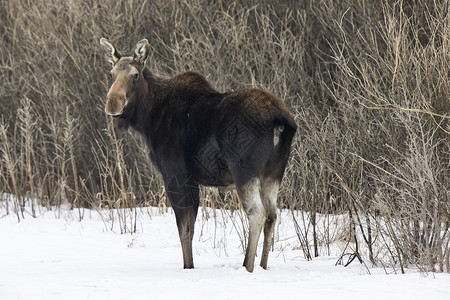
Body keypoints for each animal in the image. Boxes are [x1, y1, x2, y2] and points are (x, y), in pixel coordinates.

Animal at [100, 37, 298, 272]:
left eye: (135, 75)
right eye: (111, 74)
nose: (113, 103)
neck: (147, 120)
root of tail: (282, 120)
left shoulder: (175, 175)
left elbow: (184, 227)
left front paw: (188, 267)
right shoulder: (193, 180)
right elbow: (191, 227)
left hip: (244, 170)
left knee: (257, 213)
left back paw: (247, 266)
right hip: (274, 173)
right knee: (272, 215)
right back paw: (263, 266)